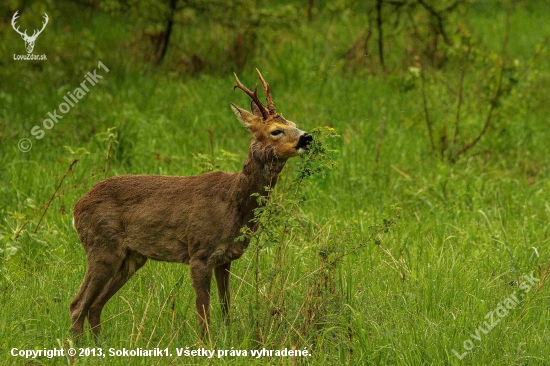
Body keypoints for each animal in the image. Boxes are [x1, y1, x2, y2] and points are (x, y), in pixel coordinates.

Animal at [69, 68, 312, 340]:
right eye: (276, 131)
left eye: (294, 125)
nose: (307, 137)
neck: (234, 203)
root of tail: (76, 208)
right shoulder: (199, 252)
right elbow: (203, 311)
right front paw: (206, 344)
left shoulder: (225, 258)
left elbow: (226, 305)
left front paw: (227, 337)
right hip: (101, 246)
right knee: (77, 304)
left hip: (131, 257)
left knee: (94, 305)